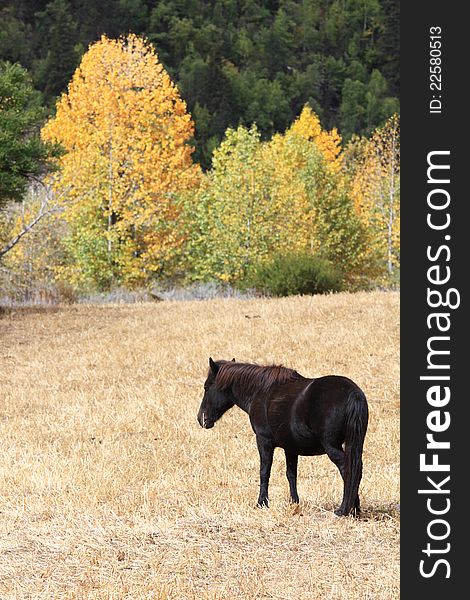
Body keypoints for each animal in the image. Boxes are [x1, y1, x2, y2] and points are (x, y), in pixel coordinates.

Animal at [196, 356, 370, 516]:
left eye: (206, 387)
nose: (201, 419)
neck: (261, 391)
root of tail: (352, 394)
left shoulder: (263, 440)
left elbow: (264, 471)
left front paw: (261, 503)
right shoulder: (290, 447)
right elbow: (291, 474)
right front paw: (294, 502)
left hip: (332, 447)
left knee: (348, 469)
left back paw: (344, 509)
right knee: (356, 468)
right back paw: (355, 509)